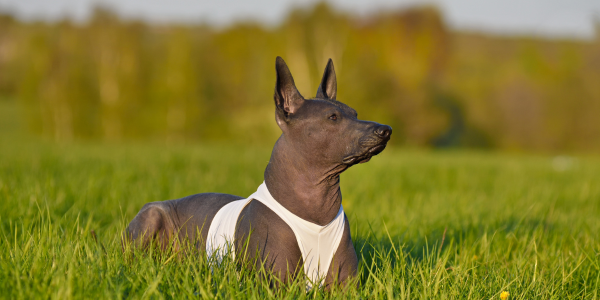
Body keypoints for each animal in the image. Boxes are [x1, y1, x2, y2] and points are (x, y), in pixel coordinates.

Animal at [124, 56, 392, 288]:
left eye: (354, 113)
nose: (385, 130)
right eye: (333, 117)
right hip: (152, 215)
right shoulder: (276, 285)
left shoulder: (346, 287)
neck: (317, 210)